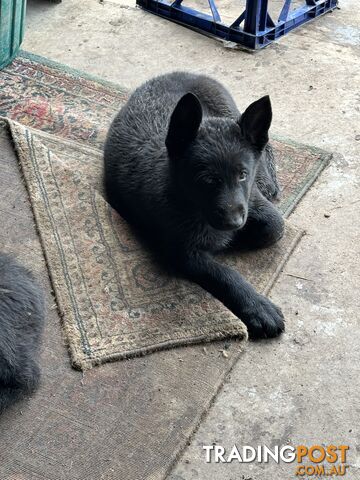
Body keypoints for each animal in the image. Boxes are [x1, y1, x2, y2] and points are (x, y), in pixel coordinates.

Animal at [103, 73, 284, 340]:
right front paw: (258, 307)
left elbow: (274, 226)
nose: (233, 223)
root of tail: (177, 73)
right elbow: (224, 274)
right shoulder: (184, 253)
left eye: (242, 175)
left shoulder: (251, 200)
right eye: (206, 180)